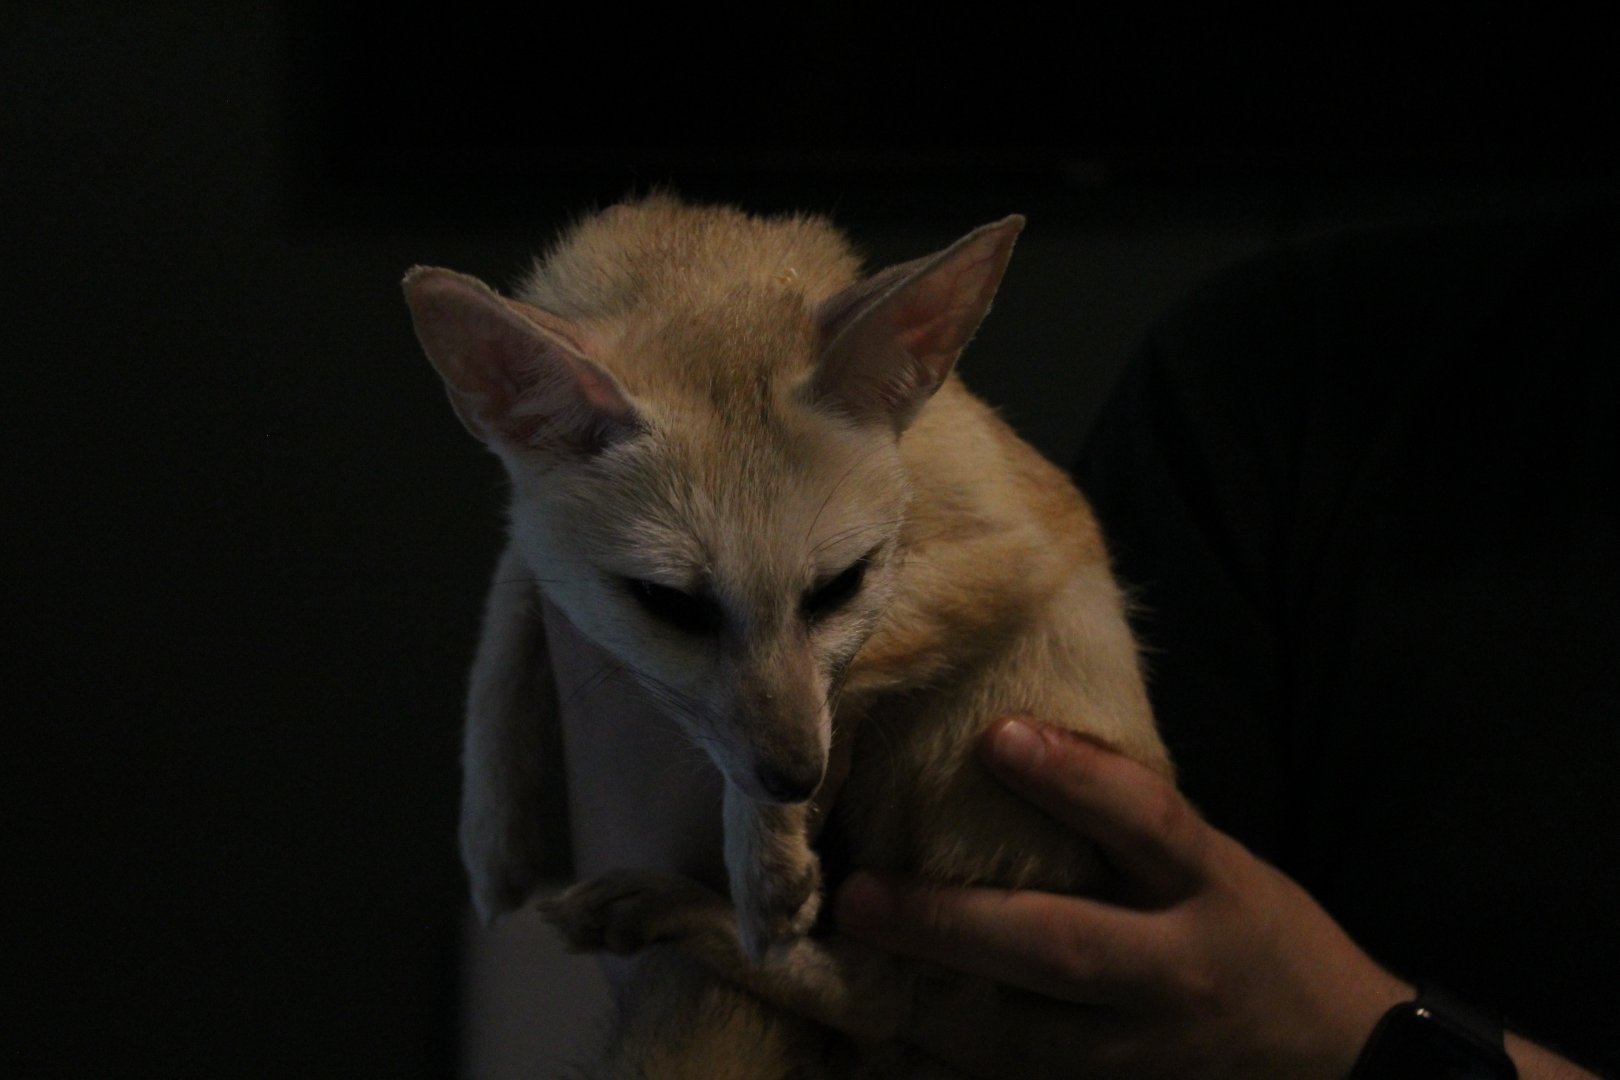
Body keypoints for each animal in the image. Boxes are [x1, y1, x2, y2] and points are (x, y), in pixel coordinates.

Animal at [404, 195, 1172, 1076]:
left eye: (839, 588)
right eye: (670, 604)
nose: (798, 778)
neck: (703, 265)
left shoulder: (1017, 548)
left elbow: (845, 676)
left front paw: (763, 860)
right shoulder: (536, 542)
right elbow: (507, 618)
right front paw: (492, 827)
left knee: (885, 1002)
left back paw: (700, 915)